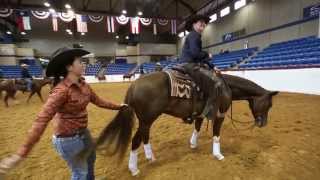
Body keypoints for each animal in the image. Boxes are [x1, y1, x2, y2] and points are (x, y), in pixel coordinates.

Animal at [95, 71, 278, 176]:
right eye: (269, 105)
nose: (263, 123)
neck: (225, 87)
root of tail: (134, 85)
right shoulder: (220, 115)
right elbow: (216, 134)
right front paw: (218, 154)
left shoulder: (201, 114)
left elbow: (197, 128)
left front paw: (193, 144)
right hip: (147, 119)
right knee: (135, 140)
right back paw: (134, 169)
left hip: (147, 121)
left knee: (144, 137)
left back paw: (150, 157)